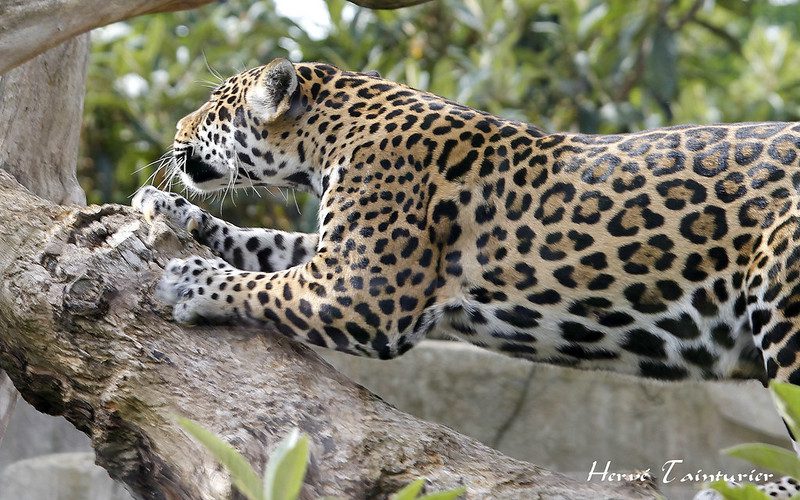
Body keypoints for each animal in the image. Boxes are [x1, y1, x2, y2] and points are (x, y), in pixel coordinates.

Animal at [132, 57, 800, 498]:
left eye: (215, 106)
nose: (176, 132)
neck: (329, 138)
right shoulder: (336, 255)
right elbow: (261, 244)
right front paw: (166, 209)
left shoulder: (363, 290)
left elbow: (261, 284)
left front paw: (192, 282)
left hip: (783, 295)